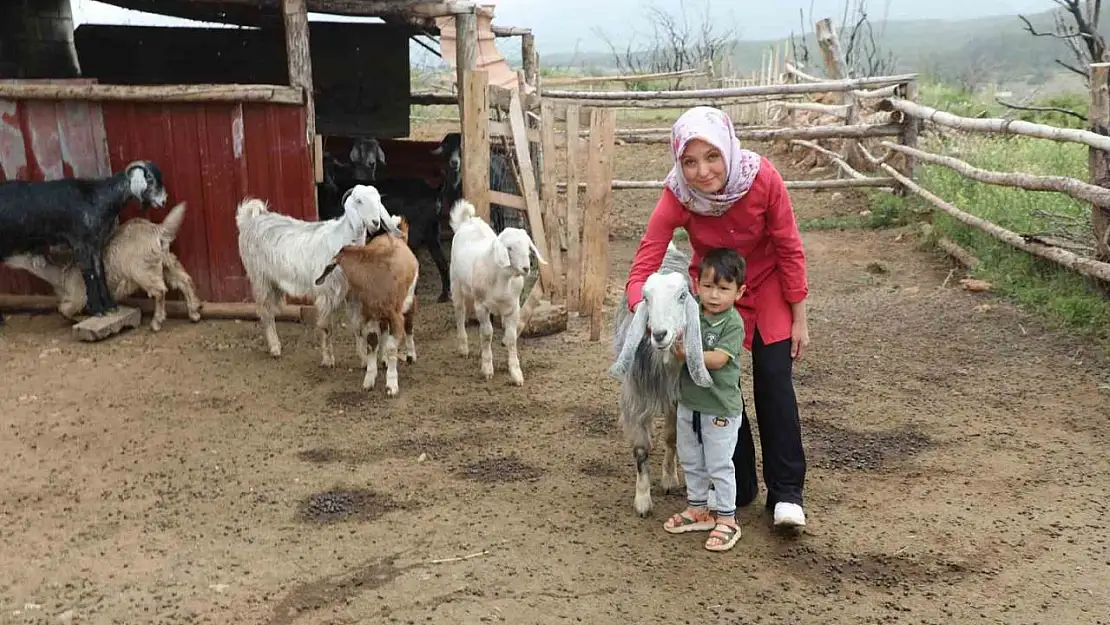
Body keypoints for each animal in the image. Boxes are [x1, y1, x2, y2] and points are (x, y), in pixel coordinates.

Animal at [0, 160, 168, 326]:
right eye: (150, 178)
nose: (163, 201)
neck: (98, 198)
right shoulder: (80, 243)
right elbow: (90, 274)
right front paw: (97, 310)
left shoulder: (96, 244)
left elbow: (100, 271)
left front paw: (110, 306)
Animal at [3, 204, 202, 333]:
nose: (6, 258)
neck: (62, 278)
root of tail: (157, 231)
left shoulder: (78, 297)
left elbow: (64, 310)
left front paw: (82, 318)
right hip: (167, 261)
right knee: (183, 280)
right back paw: (194, 313)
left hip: (142, 270)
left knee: (160, 290)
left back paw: (156, 323)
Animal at [234, 183, 399, 364]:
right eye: (359, 200)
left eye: (378, 200)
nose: (375, 222)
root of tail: (250, 219)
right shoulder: (326, 292)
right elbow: (327, 327)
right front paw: (328, 359)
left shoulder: (352, 294)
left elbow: (358, 327)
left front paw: (363, 359)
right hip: (260, 278)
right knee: (266, 312)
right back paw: (275, 347)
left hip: (274, 283)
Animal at [317, 215, 419, 399]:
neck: (373, 275)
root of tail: (401, 239)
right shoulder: (369, 315)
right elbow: (371, 343)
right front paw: (369, 380)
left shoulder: (395, 316)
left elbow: (392, 347)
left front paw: (391, 386)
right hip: (381, 315)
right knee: (384, 330)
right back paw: (383, 359)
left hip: (409, 299)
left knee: (409, 325)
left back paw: (410, 355)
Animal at [448, 200, 548, 386]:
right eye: (509, 248)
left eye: (528, 247)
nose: (526, 268)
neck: (503, 279)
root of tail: (469, 221)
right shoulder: (481, 306)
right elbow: (487, 334)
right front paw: (487, 369)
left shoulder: (513, 308)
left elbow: (511, 338)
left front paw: (516, 374)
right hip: (455, 283)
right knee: (459, 313)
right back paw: (463, 347)